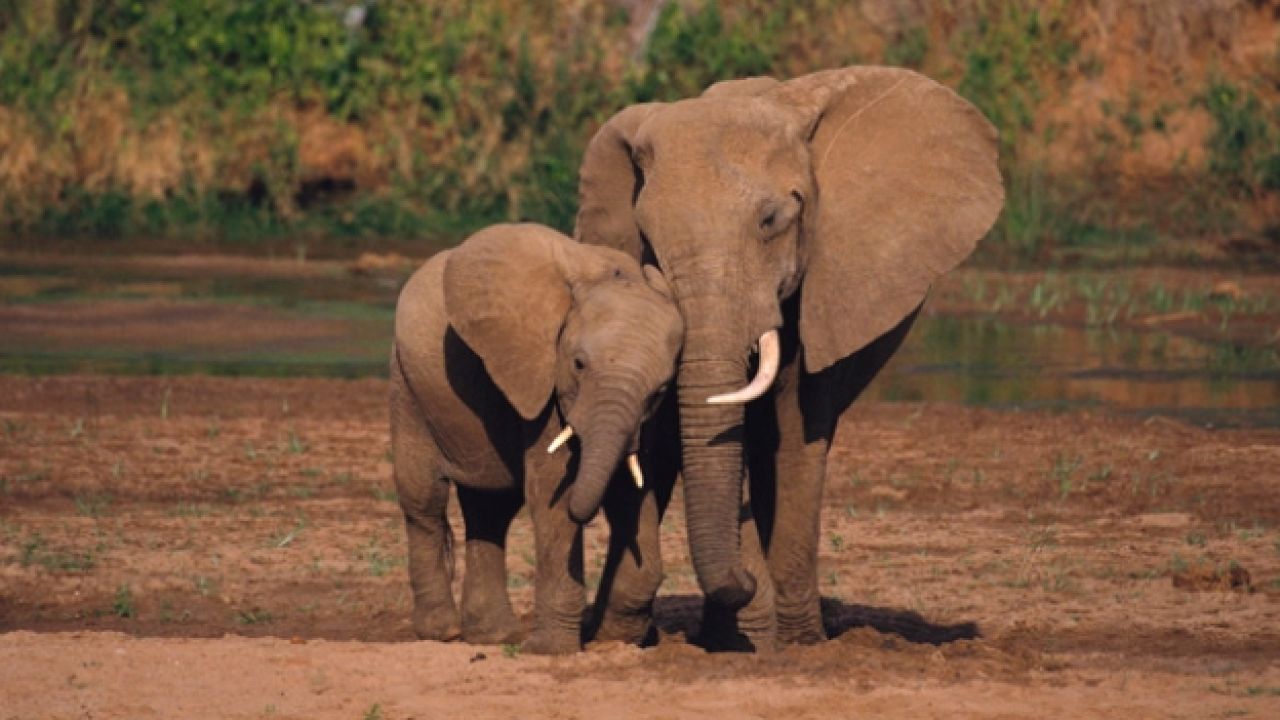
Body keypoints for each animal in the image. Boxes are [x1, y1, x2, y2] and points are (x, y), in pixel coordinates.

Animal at [394, 221, 686, 653]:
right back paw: (442, 632)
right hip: (408, 386)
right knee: (424, 500)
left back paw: (493, 636)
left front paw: (615, 639)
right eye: (578, 364)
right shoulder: (542, 379)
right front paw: (552, 650)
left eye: (662, 389)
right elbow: (552, 492)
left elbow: (633, 489)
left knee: (490, 509)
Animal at [576, 67, 1003, 648]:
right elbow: (668, 432)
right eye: (648, 239)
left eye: (771, 220)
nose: (744, 579)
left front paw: (793, 642)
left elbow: (798, 430)